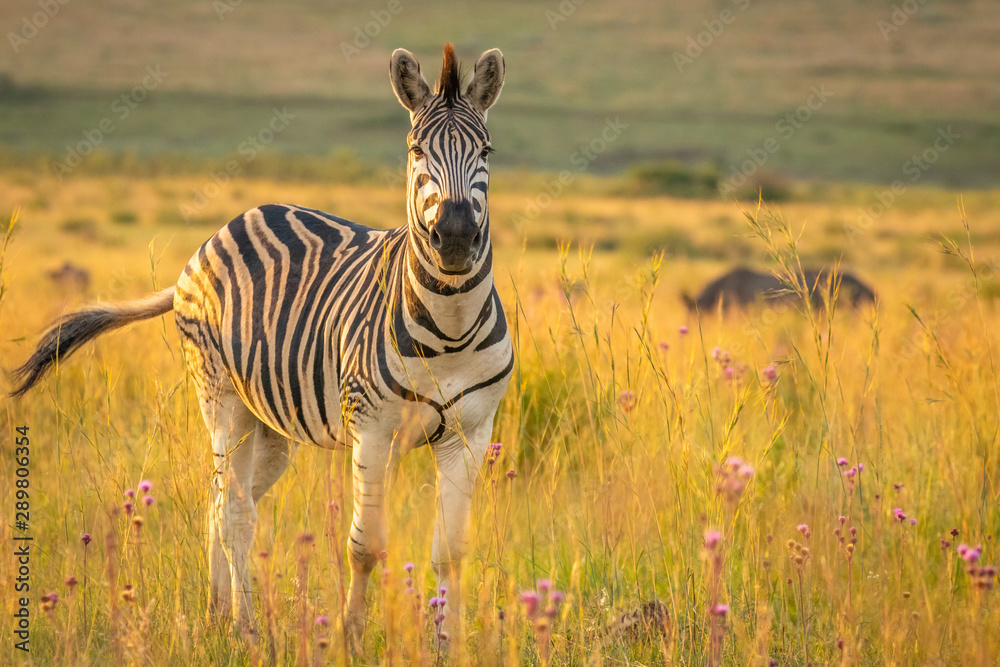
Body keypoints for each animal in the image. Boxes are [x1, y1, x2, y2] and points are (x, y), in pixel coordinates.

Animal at [12, 44, 512, 646]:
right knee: (234, 513)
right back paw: (244, 628)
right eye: (416, 150)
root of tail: (224, 228)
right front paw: (349, 638)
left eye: (486, 150)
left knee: (221, 500)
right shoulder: (372, 428)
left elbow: (451, 553)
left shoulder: (470, 432)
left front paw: (447, 645)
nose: (456, 238)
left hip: (269, 424)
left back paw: (214, 613)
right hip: (219, 395)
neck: (450, 330)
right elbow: (365, 547)